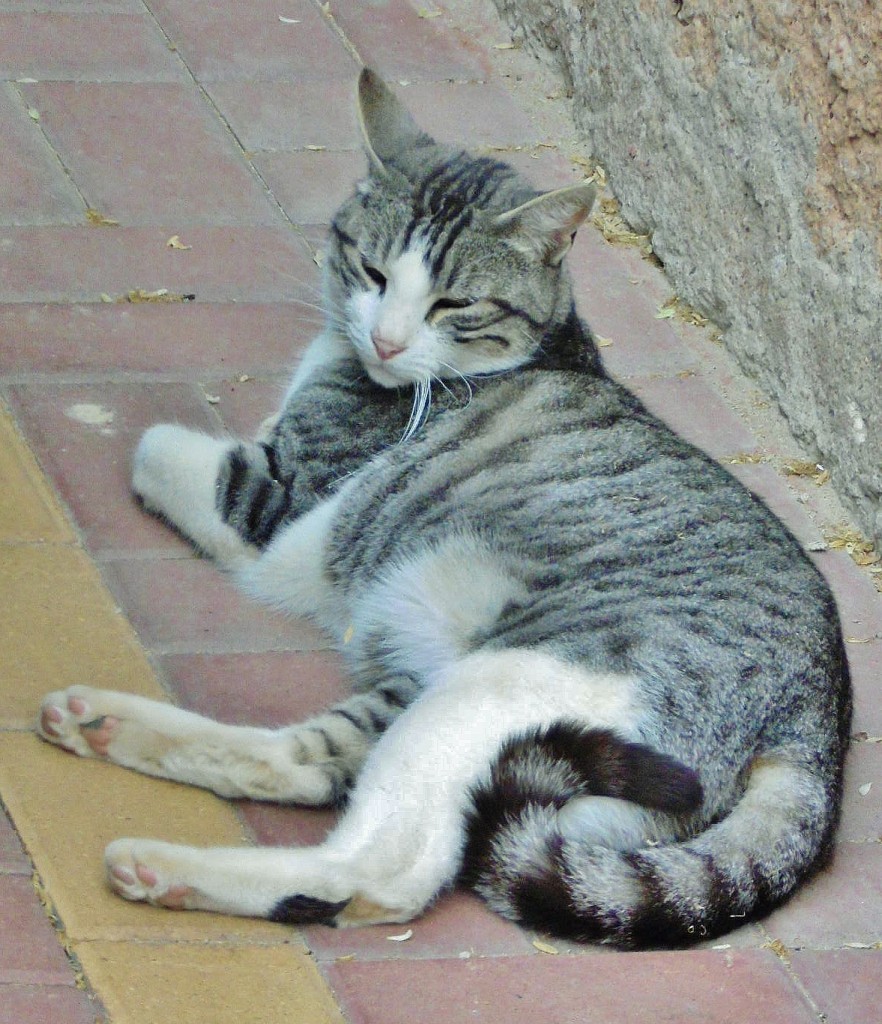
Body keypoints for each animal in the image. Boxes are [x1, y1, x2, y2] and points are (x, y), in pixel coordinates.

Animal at [37, 68, 848, 946]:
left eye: (454, 305)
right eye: (373, 272)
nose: (387, 343)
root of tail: (819, 724)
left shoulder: (275, 499)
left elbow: (153, 446)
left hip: (509, 682)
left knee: (385, 870)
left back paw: (167, 868)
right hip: (442, 700)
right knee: (312, 763)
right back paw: (106, 725)